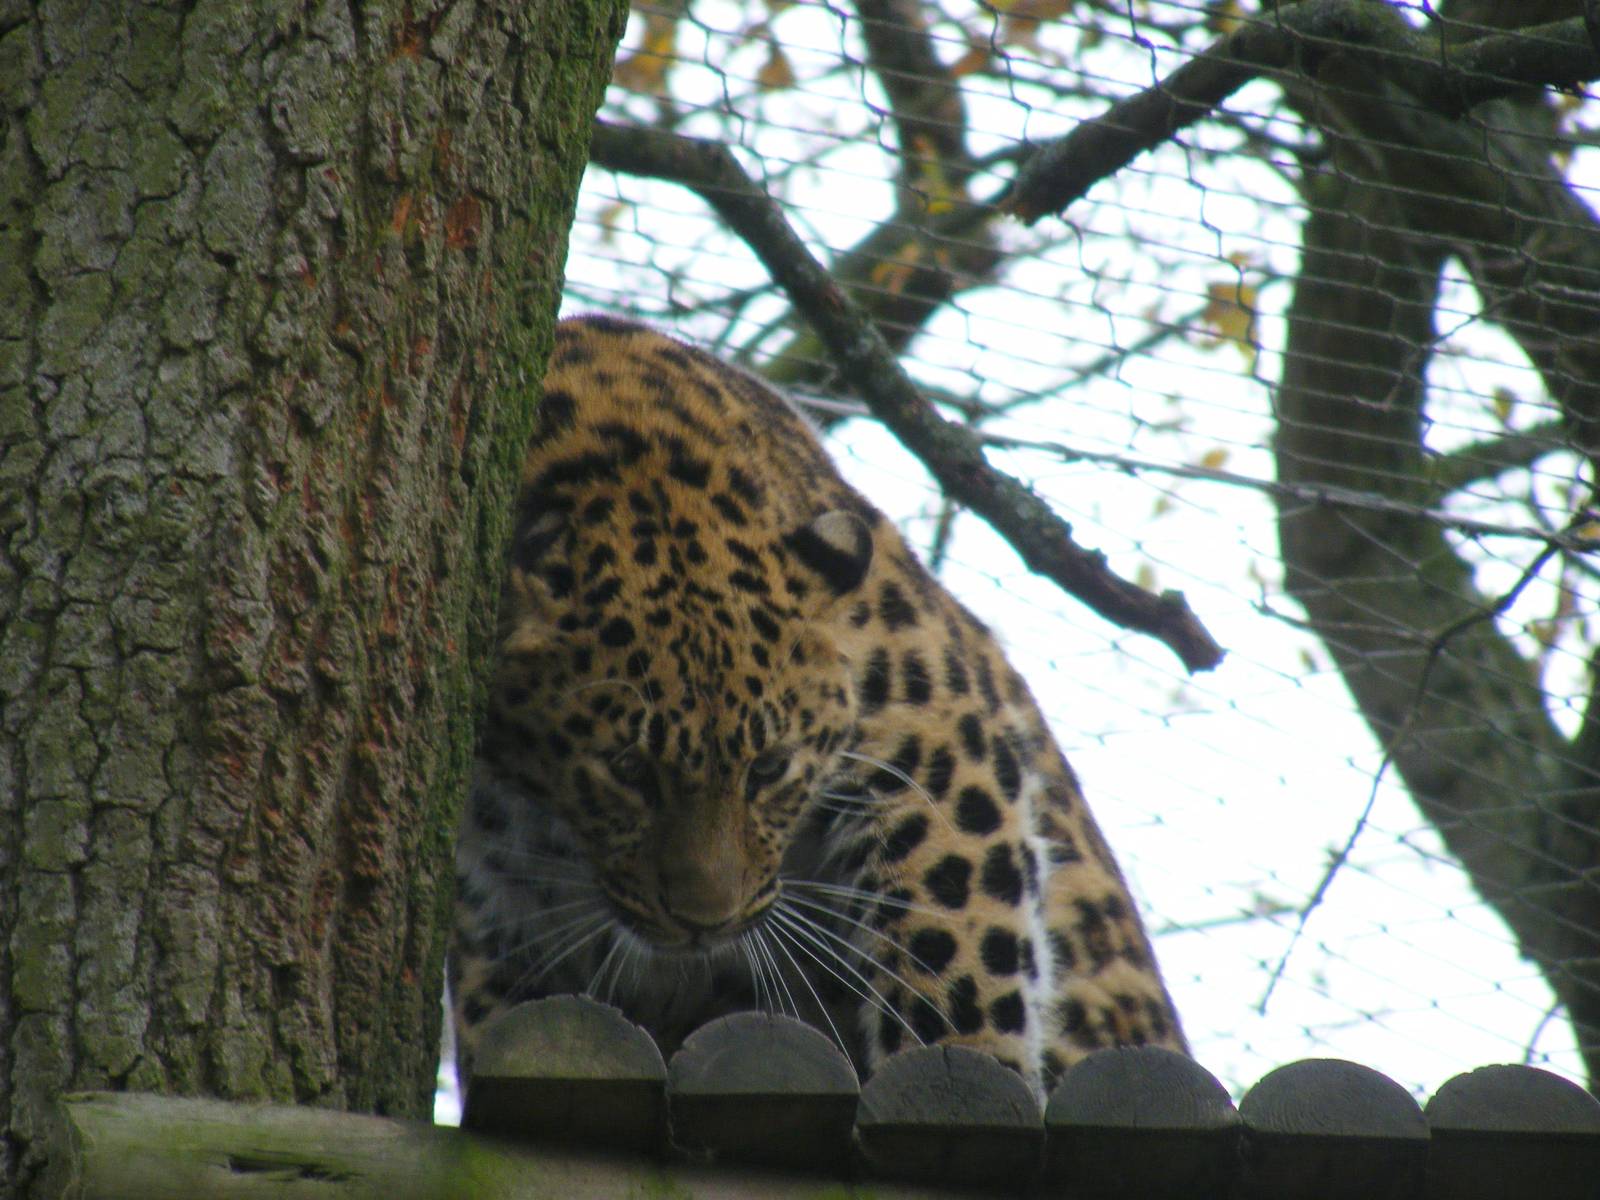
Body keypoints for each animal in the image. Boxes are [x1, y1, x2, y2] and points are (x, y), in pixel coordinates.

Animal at [449, 315, 1186, 1100]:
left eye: (770, 769)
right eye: (627, 768)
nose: (706, 923)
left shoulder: (940, 740)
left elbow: (954, 955)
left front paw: (962, 1065)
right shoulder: (500, 914)